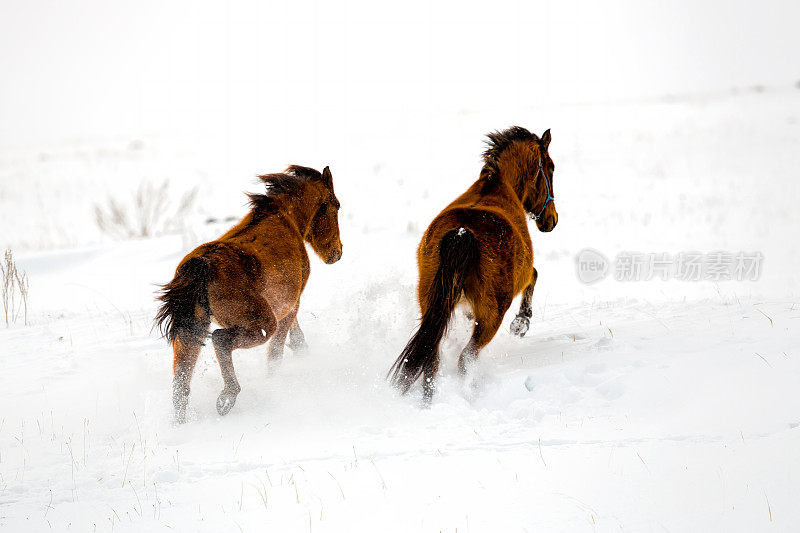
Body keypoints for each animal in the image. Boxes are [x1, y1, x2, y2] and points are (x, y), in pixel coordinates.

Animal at [155, 164, 340, 422]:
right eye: (336, 206)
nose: (337, 252)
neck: (286, 221)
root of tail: (203, 265)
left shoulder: (284, 304)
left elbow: (296, 337)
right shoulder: (290, 305)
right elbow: (276, 353)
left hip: (191, 330)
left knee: (181, 382)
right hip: (261, 324)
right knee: (221, 340)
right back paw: (227, 398)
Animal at [390, 125, 556, 400]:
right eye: (551, 168)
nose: (551, 220)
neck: (497, 187)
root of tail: (462, 232)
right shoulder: (522, 275)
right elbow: (534, 274)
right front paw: (521, 323)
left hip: (430, 302)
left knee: (431, 361)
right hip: (492, 315)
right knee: (466, 358)